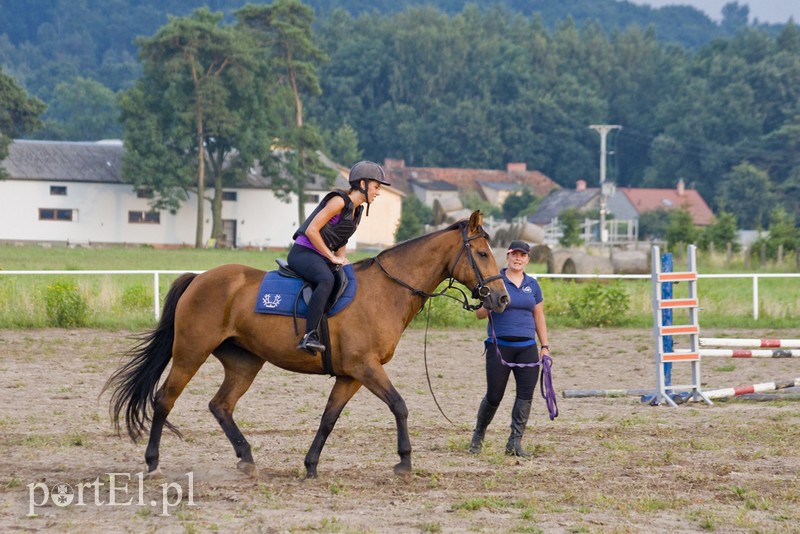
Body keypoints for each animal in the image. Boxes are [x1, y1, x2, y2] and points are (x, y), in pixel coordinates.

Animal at [103, 210, 510, 482]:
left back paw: (246, 457)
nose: (502, 299)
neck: (387, 290)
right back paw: (152, 461)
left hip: (244, 363)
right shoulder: (366, 367)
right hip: (191, 354)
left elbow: (329, 419)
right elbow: (400, 406)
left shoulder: (351, 375)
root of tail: (200, 278)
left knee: (220, 405)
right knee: (164, 401)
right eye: (484, 254)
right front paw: (405, 462)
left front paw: (311, 465)